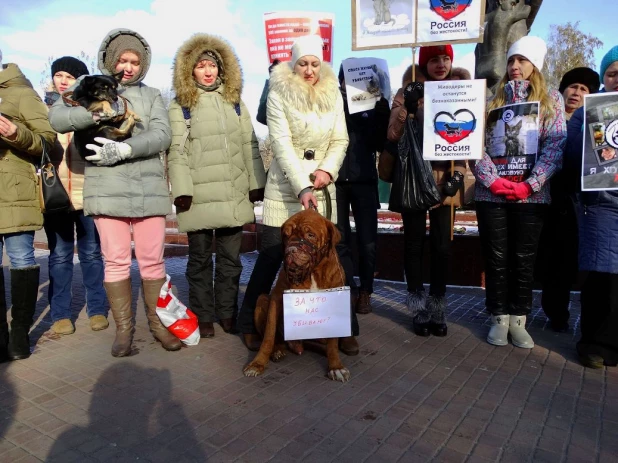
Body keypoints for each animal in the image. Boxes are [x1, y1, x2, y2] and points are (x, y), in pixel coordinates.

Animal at [244, 210, 352, 384]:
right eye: (286, 236)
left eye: (310, 235)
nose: (291, 249)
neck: (313, 272)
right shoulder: (276, 299)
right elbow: (268, 336)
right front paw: (257, 363)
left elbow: (333, 343)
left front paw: (335, 367)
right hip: (262, 299)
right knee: (276, 337)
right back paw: (277, 350)